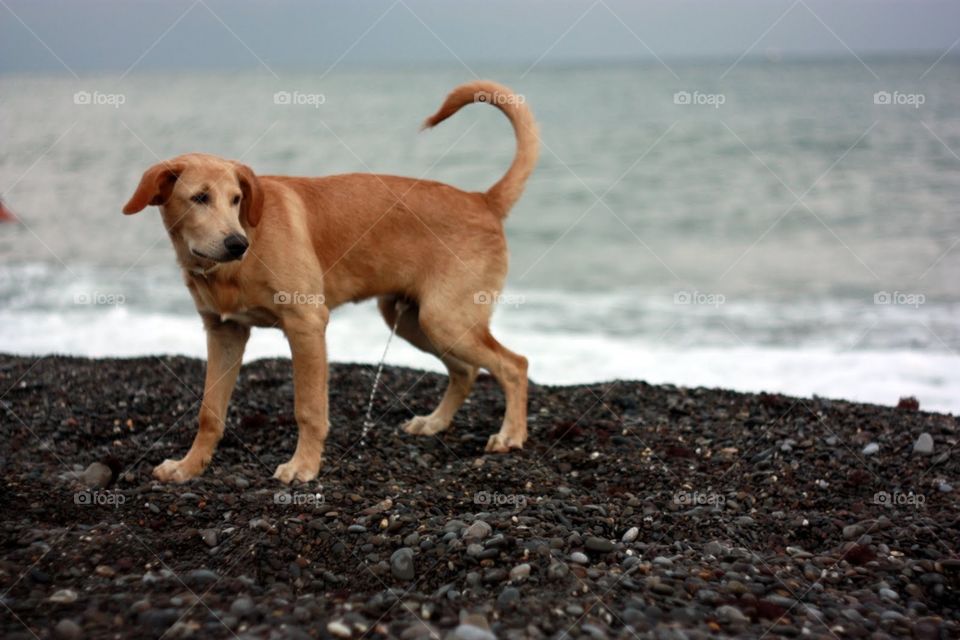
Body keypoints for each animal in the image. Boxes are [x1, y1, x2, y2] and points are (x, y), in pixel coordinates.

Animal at [122, 80, 540, 482]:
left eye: (237, 199)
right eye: (199, 198)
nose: (237, 244)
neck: (231, 267)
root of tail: (482, 200)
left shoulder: (306, 324)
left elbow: (308, 409)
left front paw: (303, 466)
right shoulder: (224, 332)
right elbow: (210, 412)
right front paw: (189, 467)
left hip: (445, 319)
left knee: (514, 365)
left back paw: (510, 435)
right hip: (414, 320)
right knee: (466, 370)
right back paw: (436, 422)